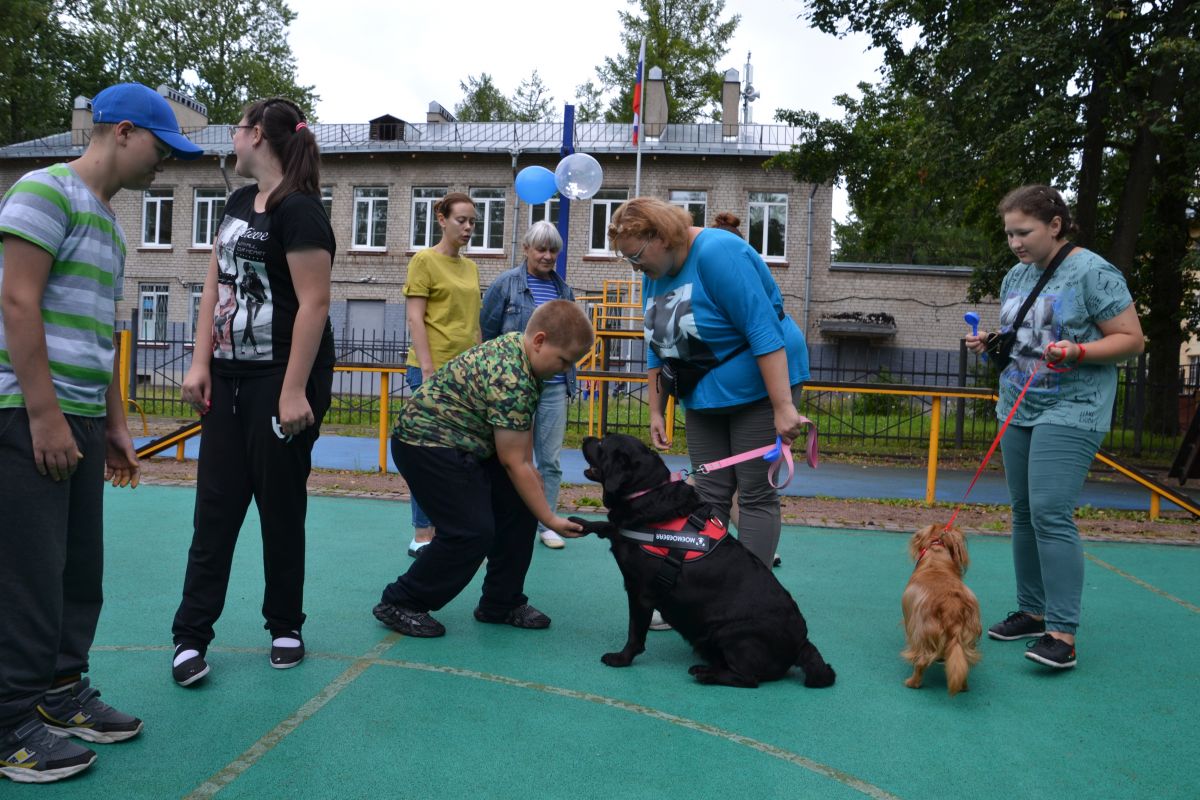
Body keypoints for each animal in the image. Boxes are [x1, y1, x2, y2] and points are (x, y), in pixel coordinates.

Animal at [570, 434, 835, 689]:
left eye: (602, 443)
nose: (585, 438)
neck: (649, 491)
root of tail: (802, 643)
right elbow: (610, 526)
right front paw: (583, 523)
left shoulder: (639, 593)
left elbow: (635, 633)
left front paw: (621, 658)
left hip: (729, 632)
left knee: (748, 679)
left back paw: (705, 673)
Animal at [901, 525, 982, 696]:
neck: (936, 561)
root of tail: (952, 606)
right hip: (966, 638)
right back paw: (963, 686)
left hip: (923, 634)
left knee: (921, 663)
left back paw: (912, 682)